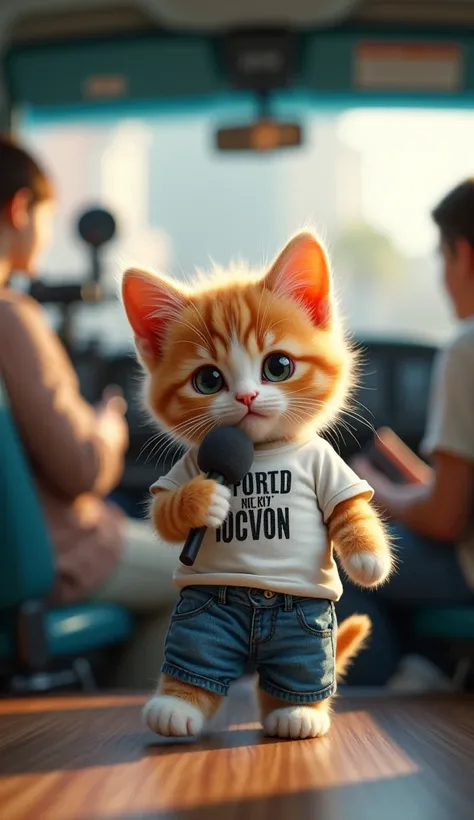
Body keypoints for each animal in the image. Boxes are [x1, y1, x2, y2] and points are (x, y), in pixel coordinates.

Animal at [122, 232, 392, 744]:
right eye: (208, 379)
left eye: (279, 366)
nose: (247, 396)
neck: (260, 451)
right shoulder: (193, 465)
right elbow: (165, 512)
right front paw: (202, 499)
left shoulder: (329, 467)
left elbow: (348, 508)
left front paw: (369, 558)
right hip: (202, 617)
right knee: (197, 656)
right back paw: (176, 705)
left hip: (305, 637)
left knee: (300, 670)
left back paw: (297, 712)